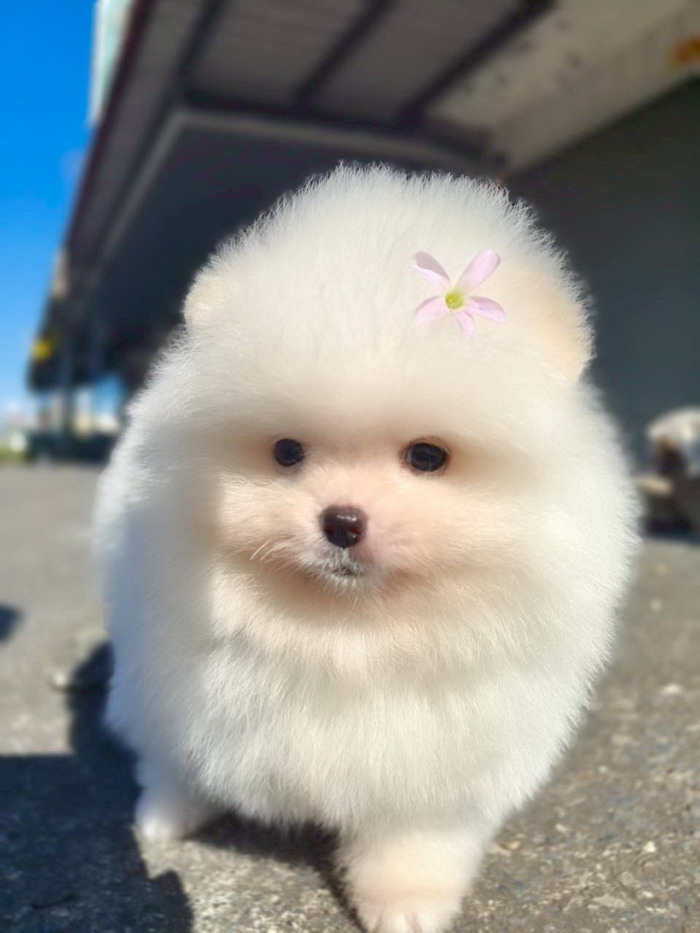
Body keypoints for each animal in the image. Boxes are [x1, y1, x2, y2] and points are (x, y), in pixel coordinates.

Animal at [94, 165, 638, 932]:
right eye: (286, 451)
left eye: (427, 456)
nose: (343, 521)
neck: (346, 630)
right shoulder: (175, 681)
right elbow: (176, 760)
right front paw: (165, 816)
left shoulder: (443, 750)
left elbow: (415, 835)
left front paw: (406, 903)